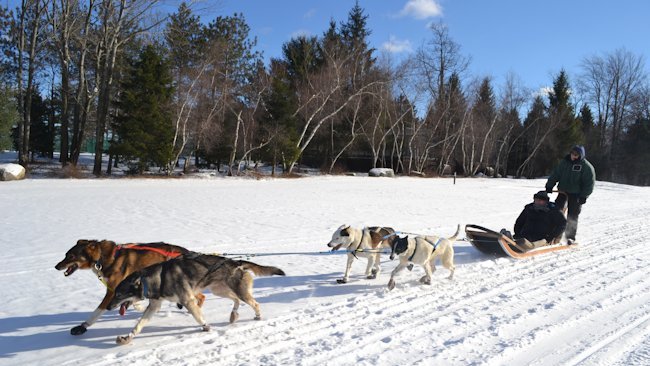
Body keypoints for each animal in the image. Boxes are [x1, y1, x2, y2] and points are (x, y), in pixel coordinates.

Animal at [55, 239, 204, 336]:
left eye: (71, 256)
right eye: (66, 254)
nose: (56, 266)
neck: (102, 258)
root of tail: (186, 252)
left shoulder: (112, 291)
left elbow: (97, 311)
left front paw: (82, 326)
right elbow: (134, 302)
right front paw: (139, 307)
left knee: (201, 296)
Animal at [107, 253, 284, 344]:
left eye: (119, 294)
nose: (108, 307)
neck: (157, 278)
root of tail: (236, 262)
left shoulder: (188, 301)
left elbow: (198, 317)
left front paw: (206, 327)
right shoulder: (154, 306)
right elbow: (139, 325)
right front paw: (127, 337)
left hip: (237, 291)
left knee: (254, 303)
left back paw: (258, 316)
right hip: (219, 290)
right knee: (237, 301)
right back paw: (233, 315)